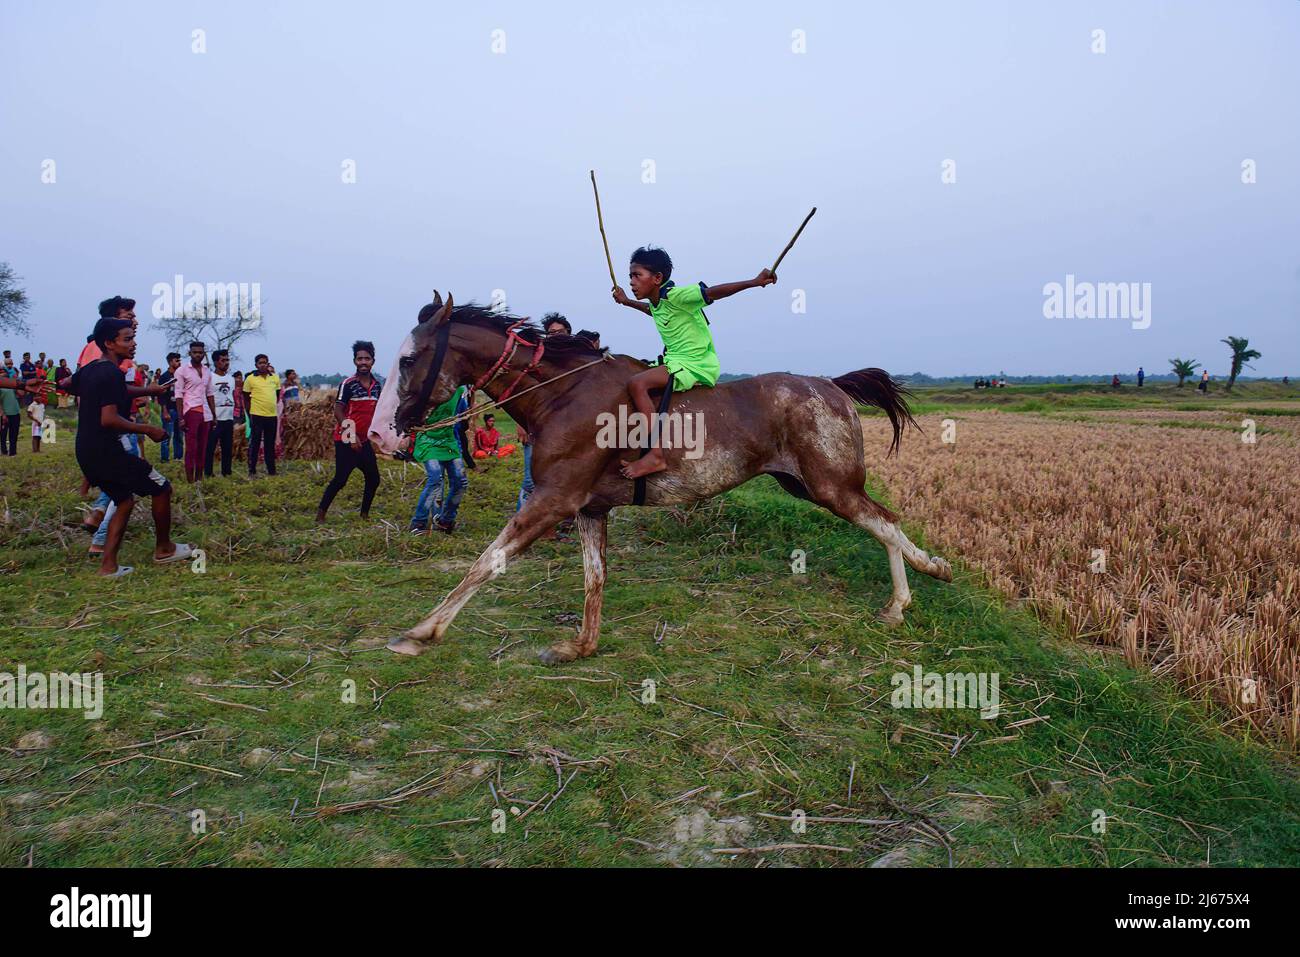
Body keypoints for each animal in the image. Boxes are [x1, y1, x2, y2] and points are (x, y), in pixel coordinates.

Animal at [371, 295, 951, 660]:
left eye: (410, 359)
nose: (378, 435)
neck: (560, 395)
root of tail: (831, 384)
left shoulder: (554, 500)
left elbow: (485, 563)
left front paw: (421, 633)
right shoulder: (588, 507)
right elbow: (595, 578)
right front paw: (581, 647)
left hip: (831, 485)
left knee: (885, 520)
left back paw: (913, 589)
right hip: (806, 484)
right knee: (883, 520)